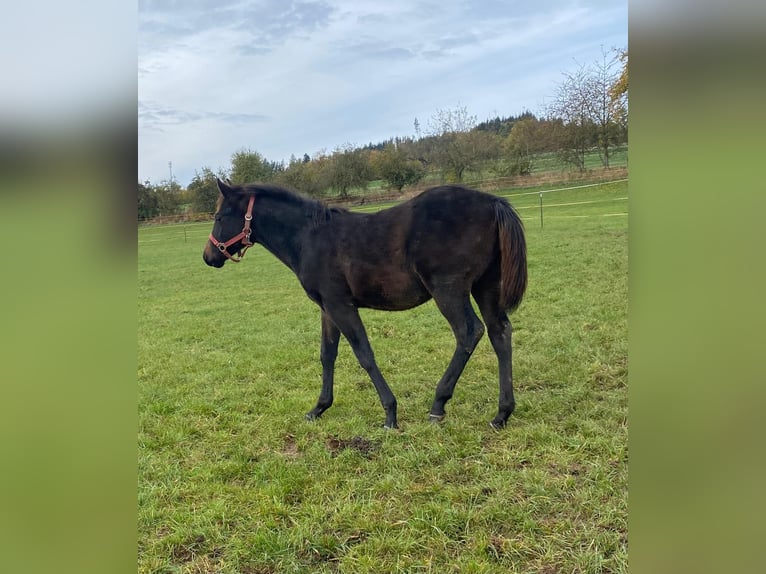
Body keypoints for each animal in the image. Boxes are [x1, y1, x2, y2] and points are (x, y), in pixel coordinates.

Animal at [204, 182, 528, 430]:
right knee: (500, 333)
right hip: (486, 287)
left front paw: (390, 414)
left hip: (448, 290)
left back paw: (439, 404)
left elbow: (364, 354)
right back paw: (502, 413)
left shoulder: (341, 305)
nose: (208, 257)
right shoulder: (327, 308)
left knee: (469, 332)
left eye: (220, 217)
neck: (309, 237)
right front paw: (319, 408)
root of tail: (493, 202)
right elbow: (327, 355)